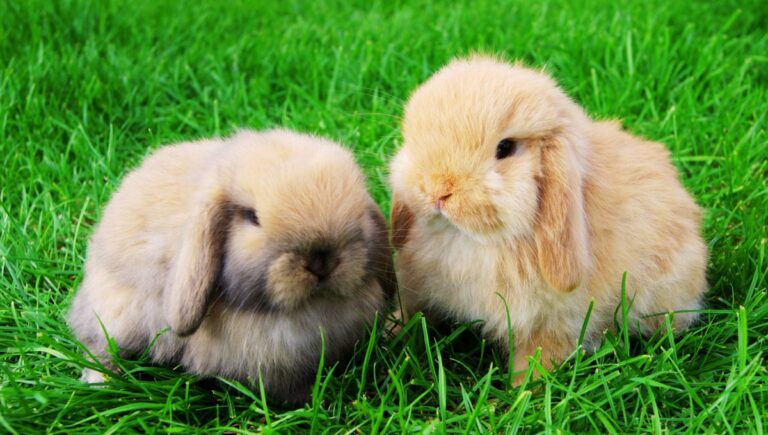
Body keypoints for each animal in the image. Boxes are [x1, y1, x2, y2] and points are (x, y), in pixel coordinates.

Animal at [67, 129, 396, 406]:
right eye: (252, 217)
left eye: (359, 212)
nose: (321, 261)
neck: (311, 307)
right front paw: (314, 402)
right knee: (98, 347)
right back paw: (102, 382)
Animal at [390, 55, 708, 382]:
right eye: (413, 143)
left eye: (505, 148)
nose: (438, 190)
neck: (468, 240)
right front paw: (392, 330)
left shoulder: (554, 322)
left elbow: (538, 357)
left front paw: (521, 389)